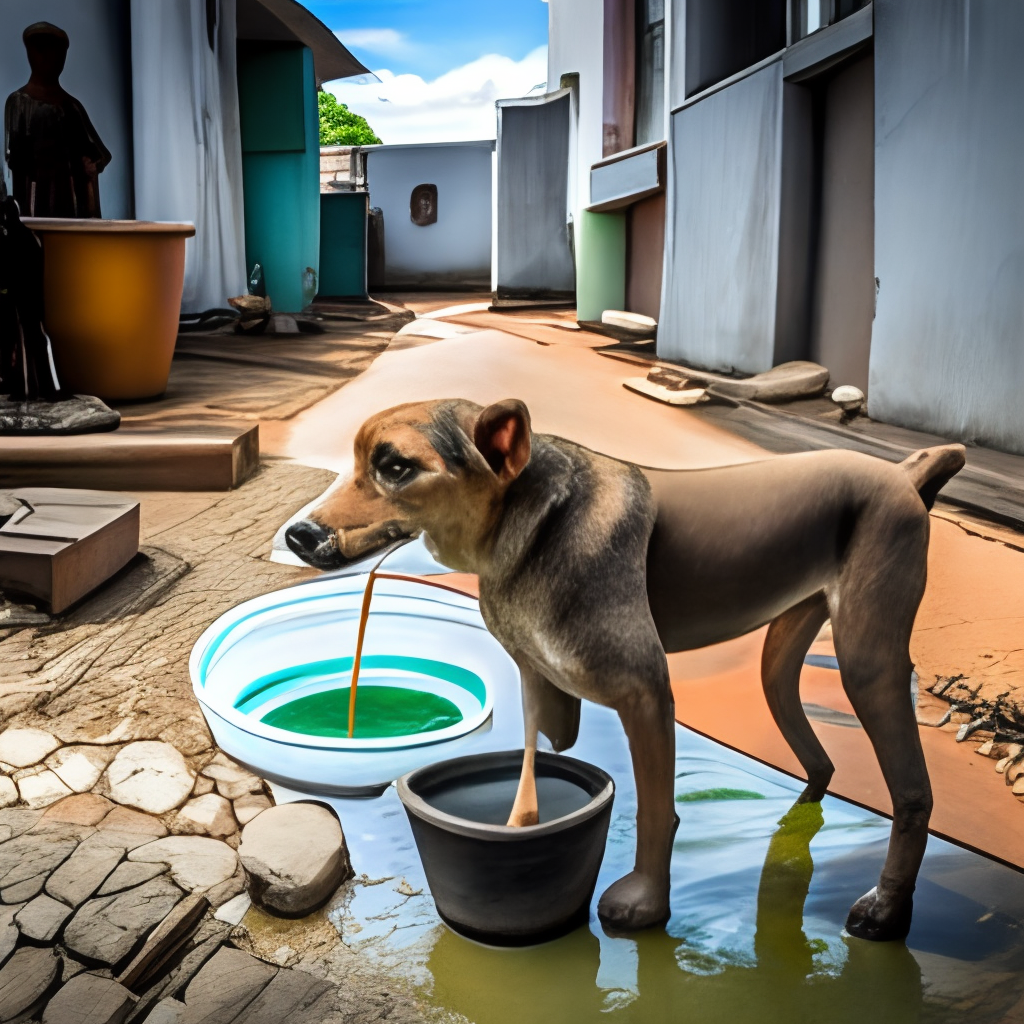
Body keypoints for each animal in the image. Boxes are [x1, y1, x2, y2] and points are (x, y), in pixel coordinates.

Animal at [286, 397, 966, 942]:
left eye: (397, 466)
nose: (298, 535)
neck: (529, 522)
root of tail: (903, 473)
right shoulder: (540, 686)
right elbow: (531, 780)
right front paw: (522, 834)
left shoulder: (646, 695)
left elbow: (655, 809)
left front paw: (645, 906)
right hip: (783, 648)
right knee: (814, 749)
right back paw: (802, 810)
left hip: (867, 660)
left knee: (914, 792)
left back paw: (886, 912)